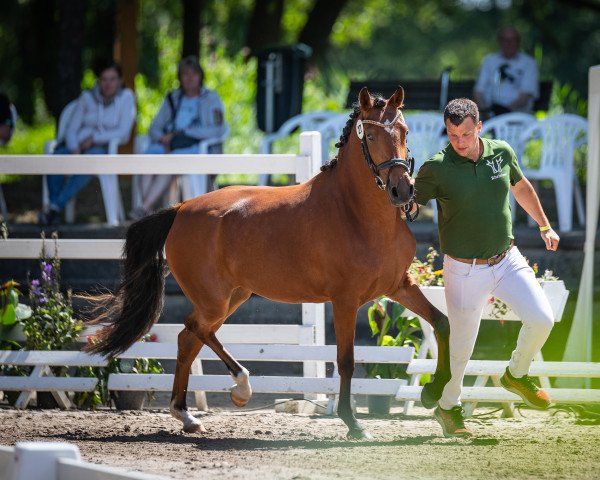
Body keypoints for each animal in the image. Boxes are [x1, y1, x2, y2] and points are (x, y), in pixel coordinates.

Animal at [85, 86, 450, 438]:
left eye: (404, 131)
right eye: (371, 136)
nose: (402, 191)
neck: (356, 214)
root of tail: (181, 208)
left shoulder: (399, 286)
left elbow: (442, 323)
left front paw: (437, 400)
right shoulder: (345, 301)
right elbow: (345, 361)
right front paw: (353, 424)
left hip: (234, 296)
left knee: (189, 338)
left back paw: (188, 416)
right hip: (214, 300)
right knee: (194, 330)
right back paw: (239, 389)